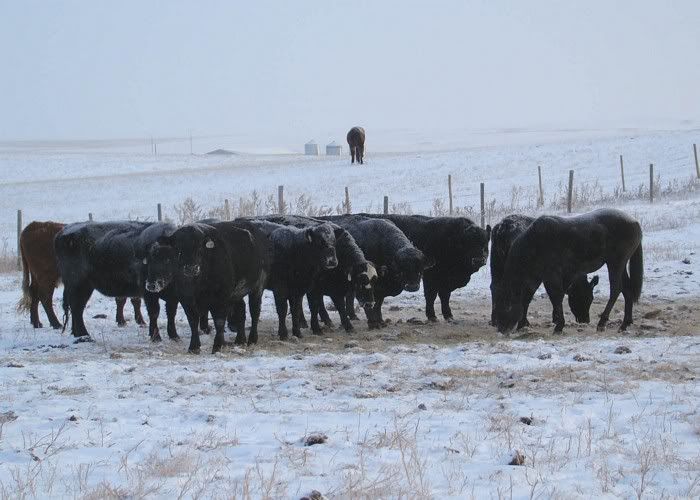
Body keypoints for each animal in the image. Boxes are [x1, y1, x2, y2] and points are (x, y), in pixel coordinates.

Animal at [18, 221, 147, 330]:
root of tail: (34, 226)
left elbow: (129, 300)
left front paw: (130, 320)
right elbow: (128, 299)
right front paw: (132, 321)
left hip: (37, 277)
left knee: (34, 293)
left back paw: (36, 323)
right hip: (47, 277)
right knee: (45, 297)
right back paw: (56, 324)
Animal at [144, 221, 269, 353]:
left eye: (200, 247)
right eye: (178, 247)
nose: (191, 268)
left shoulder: (221, 298)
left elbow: (219, 321)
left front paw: (218, 345)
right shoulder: (186, 299)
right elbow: (193, 320)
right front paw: (194, 346)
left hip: (258, 287)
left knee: (255, 311)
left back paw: (252, 339)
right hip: (237, 293)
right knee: (241, 310)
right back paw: (240, 340)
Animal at [351, 214, 490, 322]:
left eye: (485, 242)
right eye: (469, 243)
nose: (479, 260)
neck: (451, 239)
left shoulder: (445, 281)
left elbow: (445, 296)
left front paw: (448, 315)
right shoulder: (431, 277)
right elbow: (431, 296)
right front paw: (432, 316)